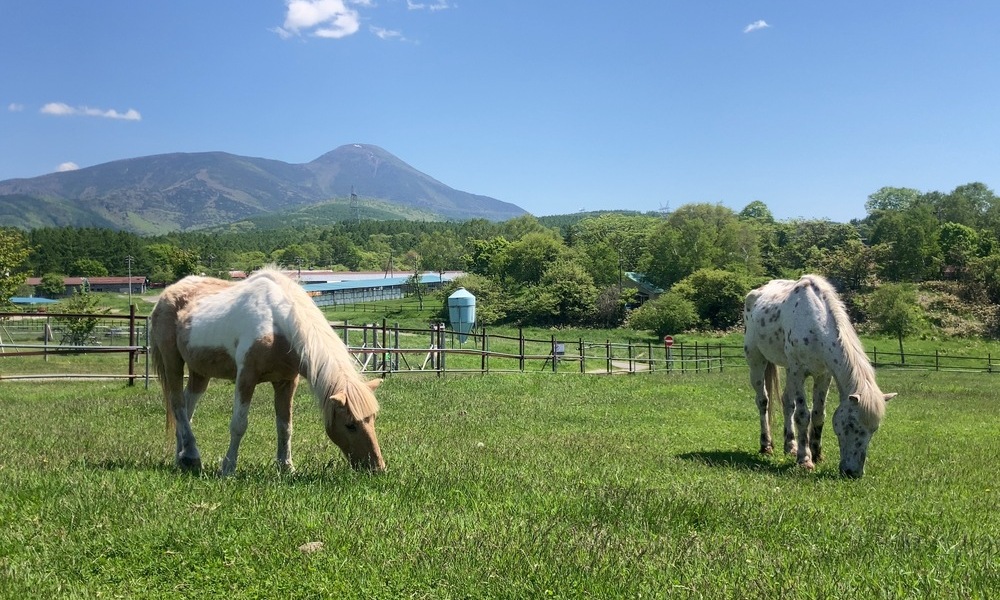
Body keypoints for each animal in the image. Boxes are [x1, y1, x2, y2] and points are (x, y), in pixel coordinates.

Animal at [149, 267, 385, 475]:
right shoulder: (246, 377)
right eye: (350, 425)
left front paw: (286, 467)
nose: (377, 468)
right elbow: (239, 424)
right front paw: (228, 469)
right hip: (173, 362)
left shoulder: (286, 382)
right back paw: (192, 457)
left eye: (373, 418)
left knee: (187, 409)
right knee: (178, 404)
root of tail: (167, 293)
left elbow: (285, 426)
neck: (276, 323)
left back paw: (181, 458)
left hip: (200, 372)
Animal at [743, 274, 895, 478]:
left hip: (788, 370)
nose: (853, 472)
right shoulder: (798, 371)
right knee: (763, 401)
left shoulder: (823, 375)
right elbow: (802, 415)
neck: (817, 325)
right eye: (851, 425)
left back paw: (790, 446)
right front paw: (805, 460)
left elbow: (818, 414)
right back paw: (766, 445)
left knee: (786, 402)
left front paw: (816, 453)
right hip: (757, 361)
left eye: (874, 429)